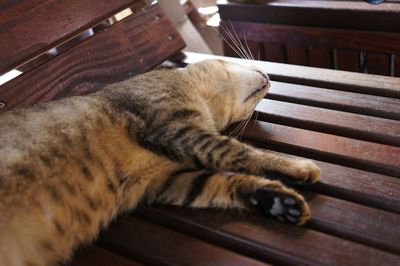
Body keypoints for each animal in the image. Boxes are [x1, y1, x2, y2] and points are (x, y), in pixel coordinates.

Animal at [0, 59, 320, 264]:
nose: (270, 80)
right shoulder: (173, 128)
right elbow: (239, 151)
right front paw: (297, 167)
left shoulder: (165, 179)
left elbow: (217, 183)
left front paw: (277, 201)